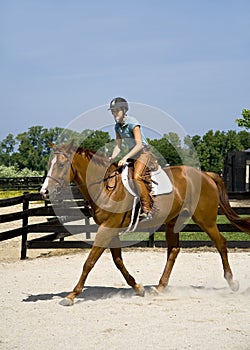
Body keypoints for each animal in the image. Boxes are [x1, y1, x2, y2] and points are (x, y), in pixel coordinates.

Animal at [40, 144, 249, 304]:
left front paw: (71, 295)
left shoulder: (106, 229)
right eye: (48, 164)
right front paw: (138, 287)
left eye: (61, 164)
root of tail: (205, 174)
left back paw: (232, 283)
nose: (44, 192)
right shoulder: (111, 230)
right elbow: (118, 261)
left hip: (205, 220)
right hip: (173, 221)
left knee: (221, 243)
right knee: (174, 250)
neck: (105, 187)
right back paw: (160, 287)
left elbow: (89, 262)